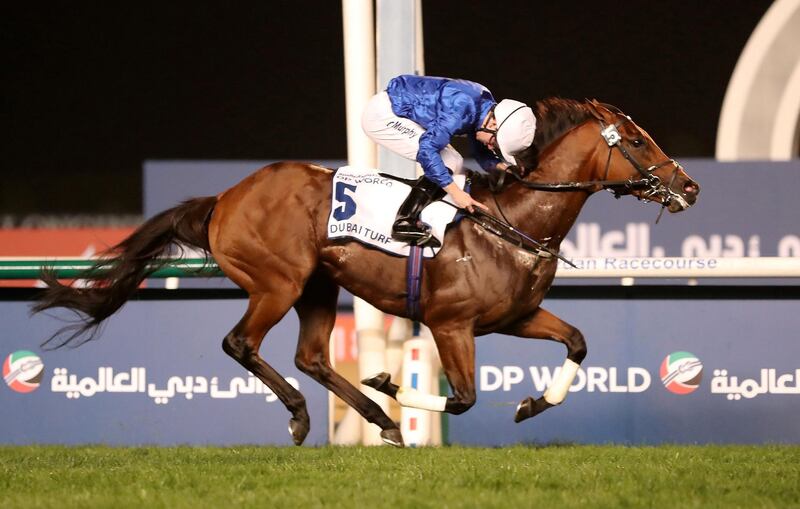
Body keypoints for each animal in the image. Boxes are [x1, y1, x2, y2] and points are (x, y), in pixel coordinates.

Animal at [36, 98, 700, 444]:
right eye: (637, 141)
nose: (689, 187)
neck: (509, 223)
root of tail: (224, 198)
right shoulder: (451, 323)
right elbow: (462, 398)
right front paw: (392, 385)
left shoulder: (516, 315)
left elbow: (578, 342)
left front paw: (533, 404)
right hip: (277, 282)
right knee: (241, 343)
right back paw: (310, 415)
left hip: (317, 286)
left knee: (310, 357)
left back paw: (374, 418)